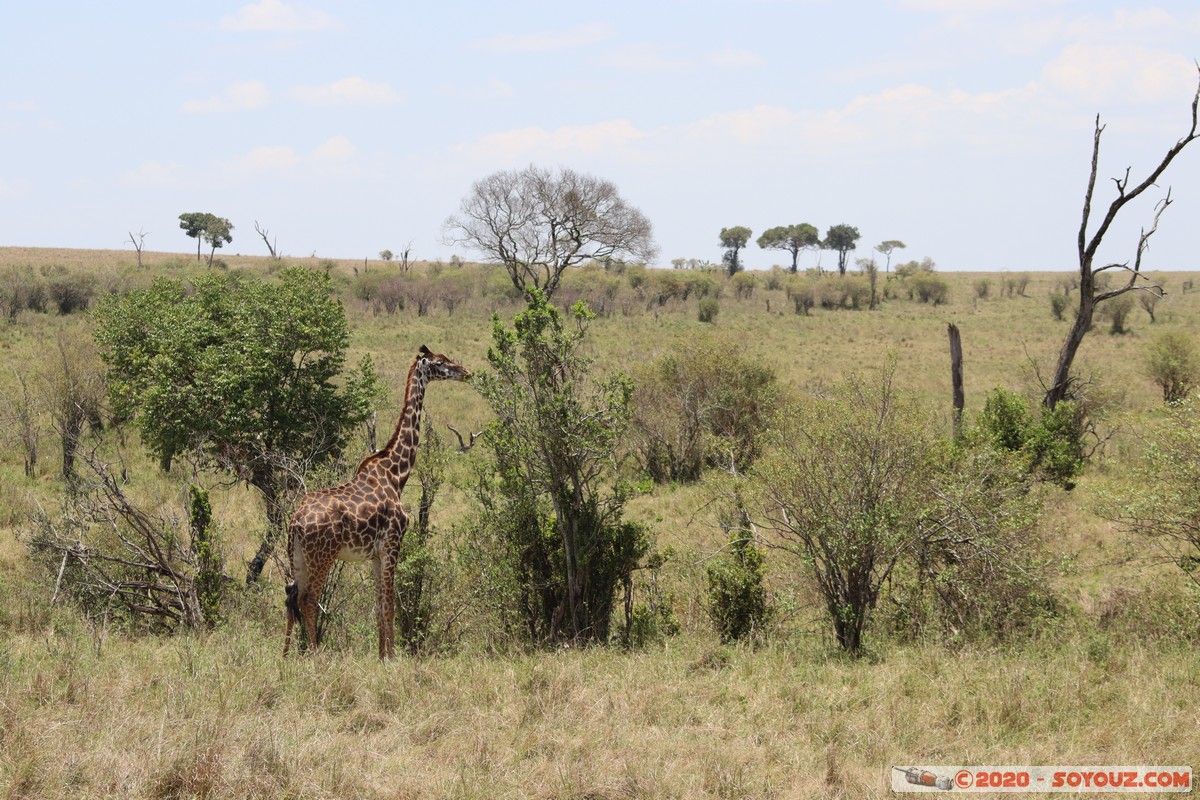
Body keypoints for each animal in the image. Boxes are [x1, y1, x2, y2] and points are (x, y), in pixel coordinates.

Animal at [283, 345, 470, 657]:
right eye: (441, 362)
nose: (465, 371)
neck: (397, 473)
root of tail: (296, 521)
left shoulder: (374, 554)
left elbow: (378, 604)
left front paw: (382, 654)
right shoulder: (393, 544)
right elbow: (390, 605)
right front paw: (393, 656)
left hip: (297, 557)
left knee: (291, 595)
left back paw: (286, 655)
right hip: (323, 556)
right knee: (308, 599)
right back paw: (316, 654)